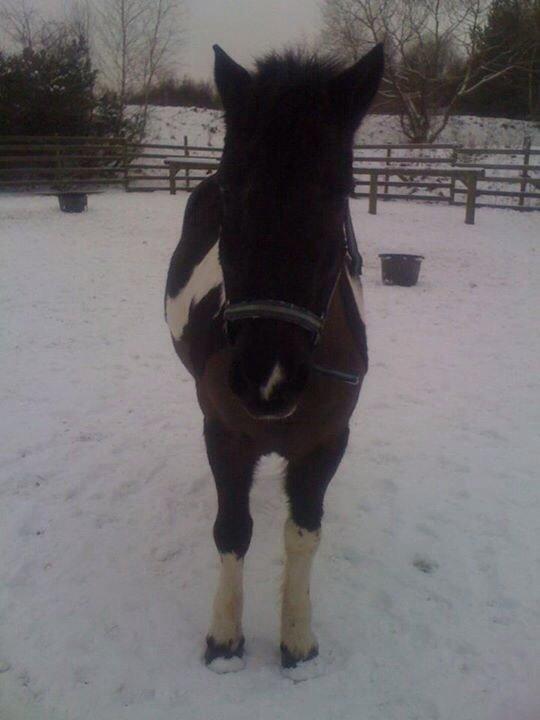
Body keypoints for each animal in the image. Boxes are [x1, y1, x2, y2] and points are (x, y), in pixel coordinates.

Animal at [165, 43, 384, 672]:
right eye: (231, 194)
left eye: (339, 192)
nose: (268, 380)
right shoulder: (225, 434)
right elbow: (233, 530)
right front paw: (224, 639)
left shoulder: (327, 440)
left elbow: (304, 531)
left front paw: (297, 641)